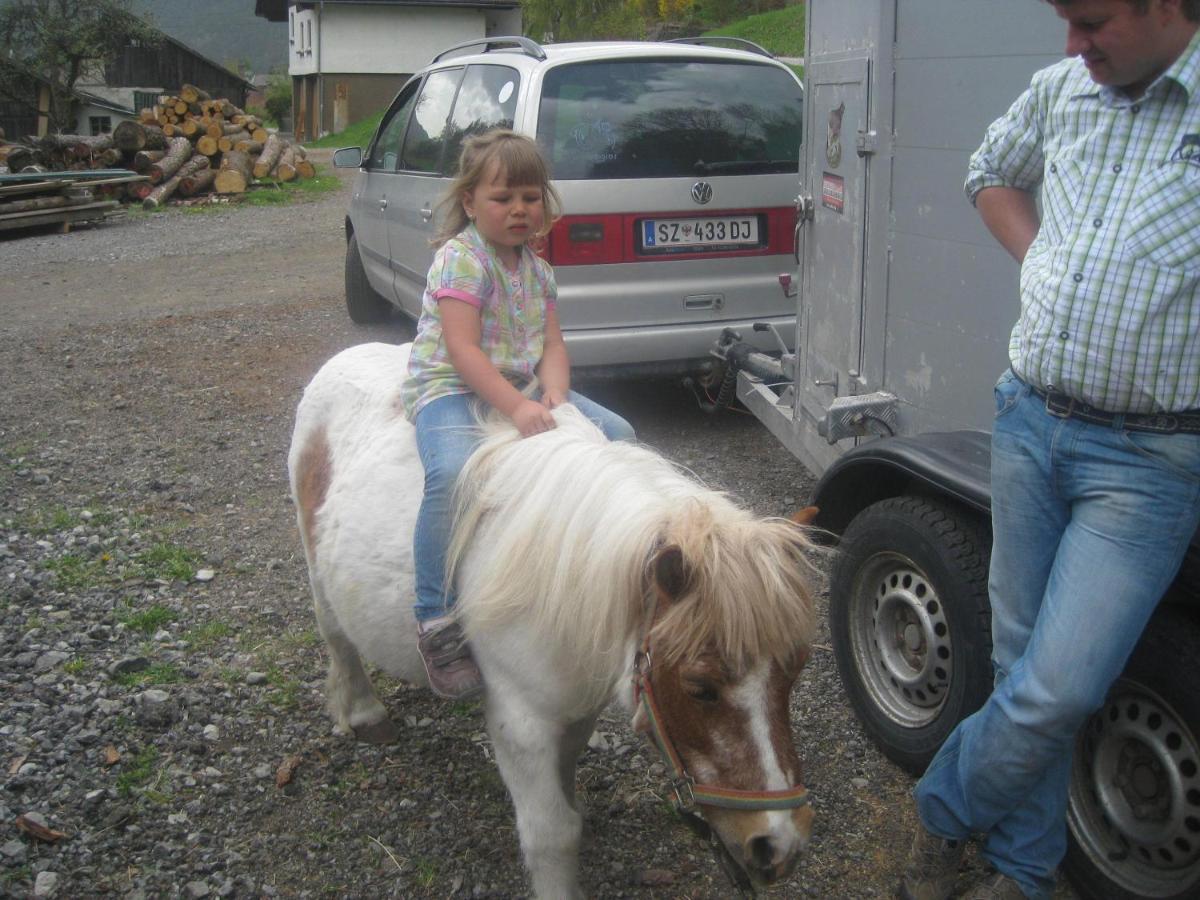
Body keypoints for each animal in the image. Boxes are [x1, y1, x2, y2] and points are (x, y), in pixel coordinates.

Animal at [285, 343, 820, 897]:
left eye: (795, 671)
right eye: (700, 688)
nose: (779, 845)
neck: (566, 574)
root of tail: (347, 355)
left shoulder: (576, 702)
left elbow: (569, 781)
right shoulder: (520, 723)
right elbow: (552, 834)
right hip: (317, 571)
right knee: (336, 638)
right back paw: (364, 711)